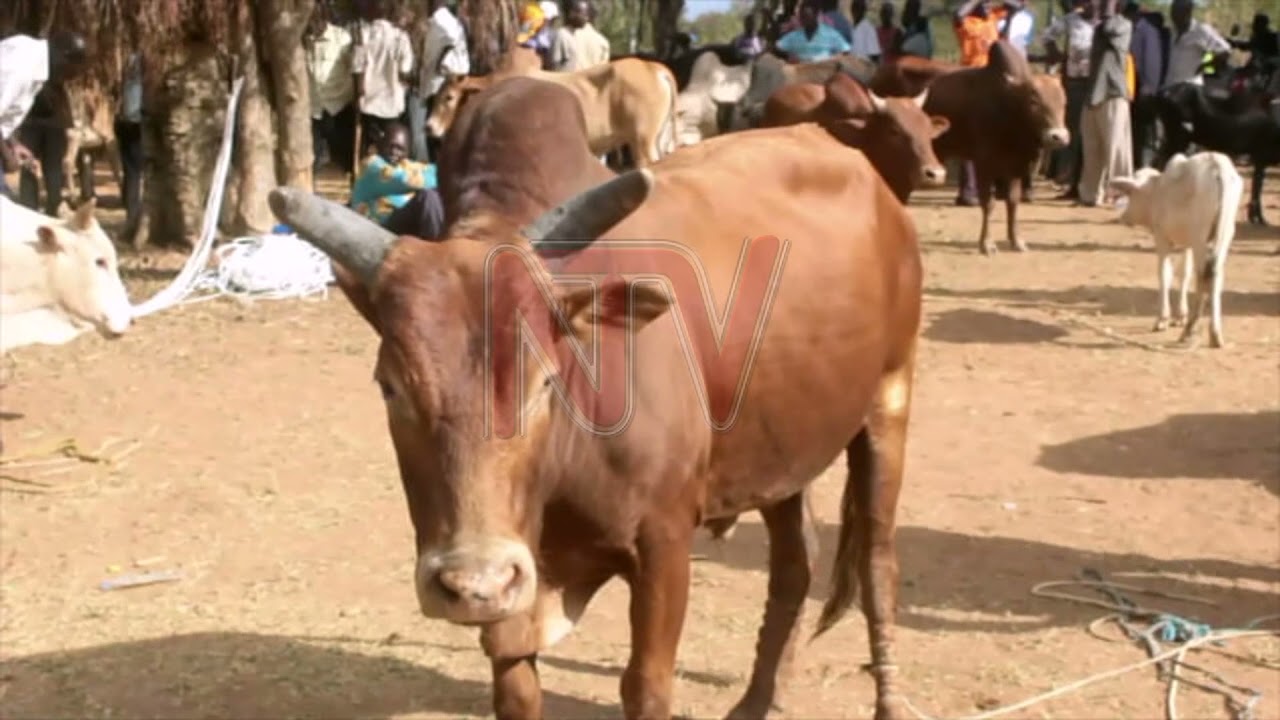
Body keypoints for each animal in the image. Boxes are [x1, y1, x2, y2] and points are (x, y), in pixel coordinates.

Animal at [272, 75, 924, 720]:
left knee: (877, 564)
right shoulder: (520, 590)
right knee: (796, 565)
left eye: (546, 379)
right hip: (784, 445)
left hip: (889, 399)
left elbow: (646, 686)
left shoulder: (664, 545)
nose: (476, 581)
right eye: (390, 386)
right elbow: (516, 689)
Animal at [871, 41, 1069, 255]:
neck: (1008, 106)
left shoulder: (1016, 165)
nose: (1058, 137)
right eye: (1033, 101)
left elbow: (1013, 202)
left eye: (1064, 102)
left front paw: (1016, 241)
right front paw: (987, 244)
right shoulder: (984, 164)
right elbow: (988, 203)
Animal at [1109, 152, 1244, 349]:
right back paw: (1214, 333)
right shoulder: (1186, 244)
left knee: (1204, 276)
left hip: (1200, 236)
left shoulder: (1162, 238)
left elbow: (1165, 274)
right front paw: (1180, 316)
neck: (1156, 191)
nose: (1124, 218)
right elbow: (1183, 274)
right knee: (1215, 276)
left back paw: (1191, 330)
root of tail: (1217, 165)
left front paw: (1162, 319)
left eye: (1130, 194)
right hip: (1225, 233)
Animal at [1154, 81, 1280, 226]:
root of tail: (1163, 91)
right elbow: (1257, 188)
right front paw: (1259, 219)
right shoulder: (1261, 155)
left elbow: (1256, 186)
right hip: (1178, 137)